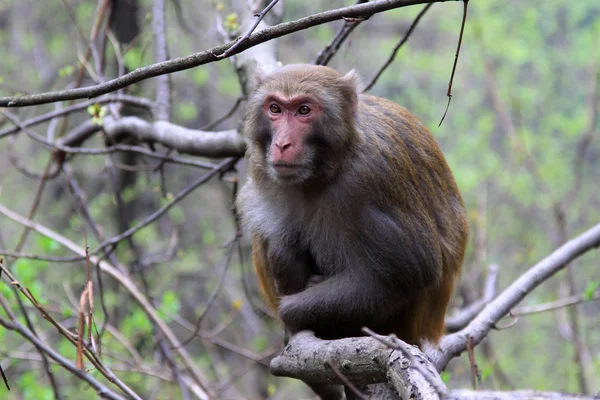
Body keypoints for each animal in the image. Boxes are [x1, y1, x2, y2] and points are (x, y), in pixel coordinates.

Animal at [236, 64, 468, 398]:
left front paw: (291, 310)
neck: (328, 166)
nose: (281, 145)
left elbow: (410, 271)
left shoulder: (371, 178)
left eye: (304, 110)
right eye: (275, 108)